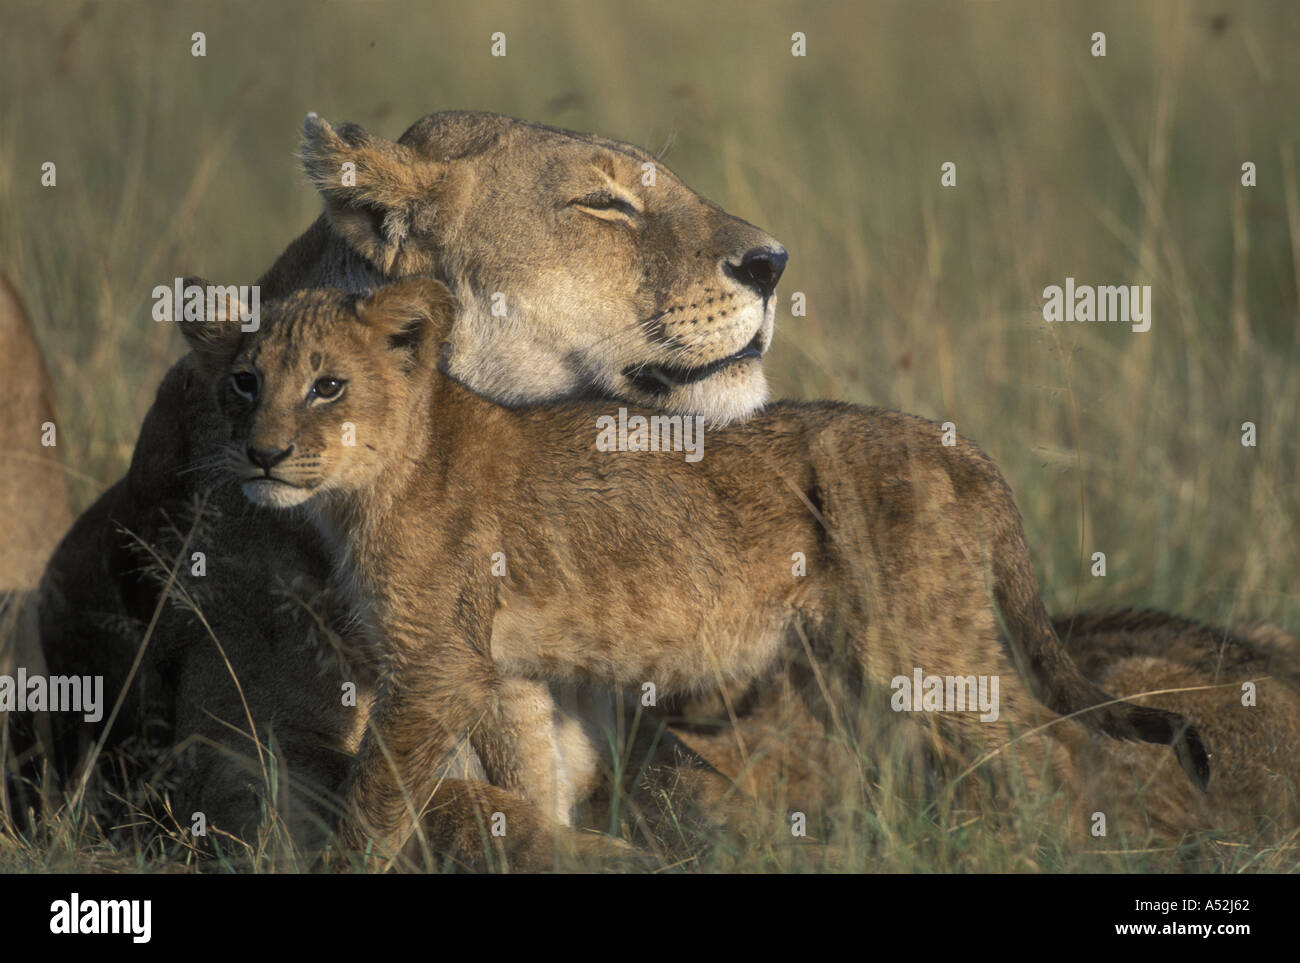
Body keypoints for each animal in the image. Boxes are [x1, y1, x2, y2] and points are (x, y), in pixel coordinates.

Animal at [176, 277, 1209, 859]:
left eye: (328, 385)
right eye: (243, 382)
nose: (262, 454)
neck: (368, 482)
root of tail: (960, 445)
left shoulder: (439, 665)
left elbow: (376, 795)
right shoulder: (508, 673)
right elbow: (533, 784)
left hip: (923, 641)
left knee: (1052, 750)